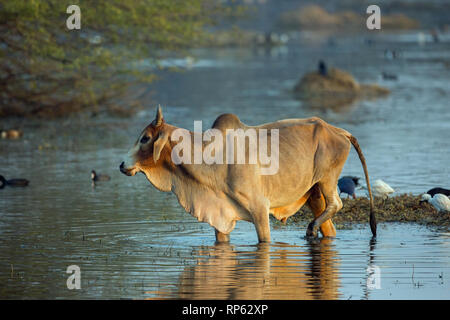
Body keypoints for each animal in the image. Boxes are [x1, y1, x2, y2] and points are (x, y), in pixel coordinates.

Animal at [119, 107, 376, 242]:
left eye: (145, 138)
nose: (122, 165)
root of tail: (338, 131)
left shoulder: (259, 209)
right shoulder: (219, 216)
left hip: (327, 178)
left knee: (337, 203)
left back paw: (311, 228)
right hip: (313, 193)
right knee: (329, 225)